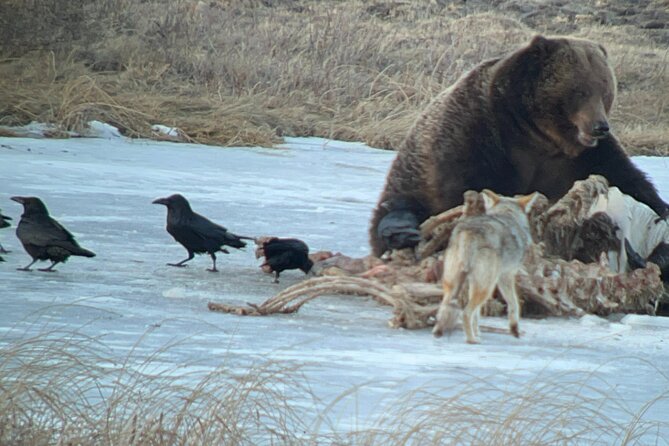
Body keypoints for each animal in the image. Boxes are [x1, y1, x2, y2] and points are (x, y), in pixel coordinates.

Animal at [370, 34, 668, 256]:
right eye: (579, 90)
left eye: (605, 89)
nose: (600, 126)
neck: (538, 135)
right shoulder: (478, 133)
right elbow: (468, 186)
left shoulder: (582, 159)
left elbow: (630, 181)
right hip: (409, 180)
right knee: (398, 210)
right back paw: (403, 231)